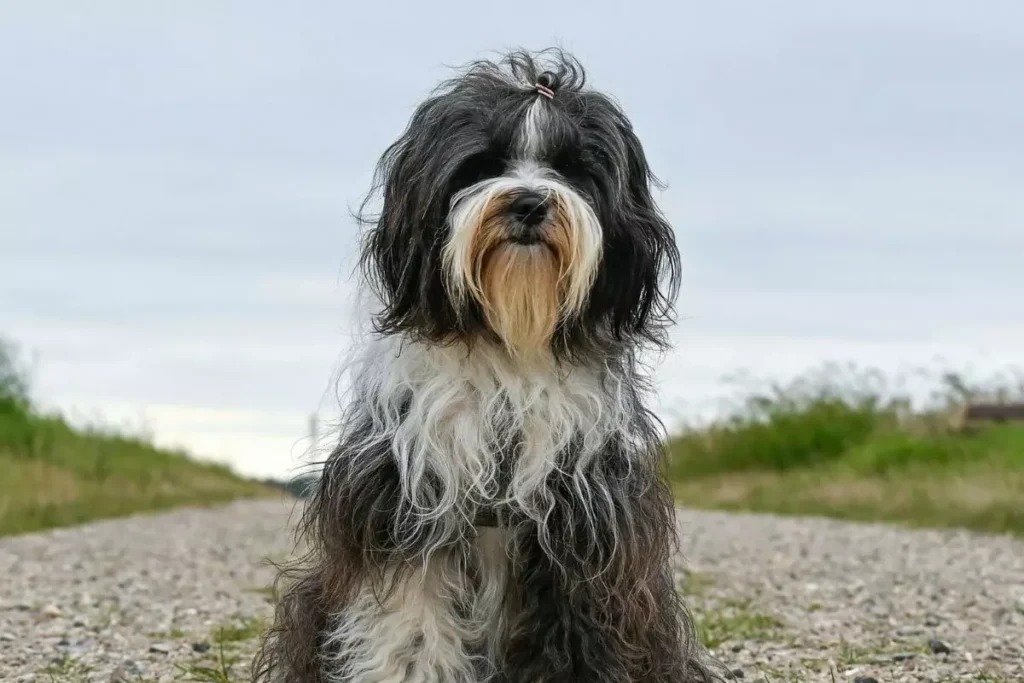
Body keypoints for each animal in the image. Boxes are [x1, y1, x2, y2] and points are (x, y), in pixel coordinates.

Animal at [256, 48, 720, 683]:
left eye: (574, 170)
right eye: (481, 166)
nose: (529, 202)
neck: (510, 345)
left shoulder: (584, 523)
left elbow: (581, 629)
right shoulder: (407, 498)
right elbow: (413, 624)